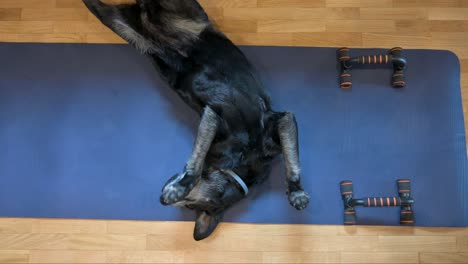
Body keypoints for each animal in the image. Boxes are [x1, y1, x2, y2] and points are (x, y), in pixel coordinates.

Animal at [83, 0, 310, 240]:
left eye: (190, 206)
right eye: (189, 198)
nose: (161, 200)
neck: (241, 160)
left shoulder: (272, 123)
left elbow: (291, 160)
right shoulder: (223, 118)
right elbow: (198, 161)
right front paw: (297, 192)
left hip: (127, 30)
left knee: (109, 11)